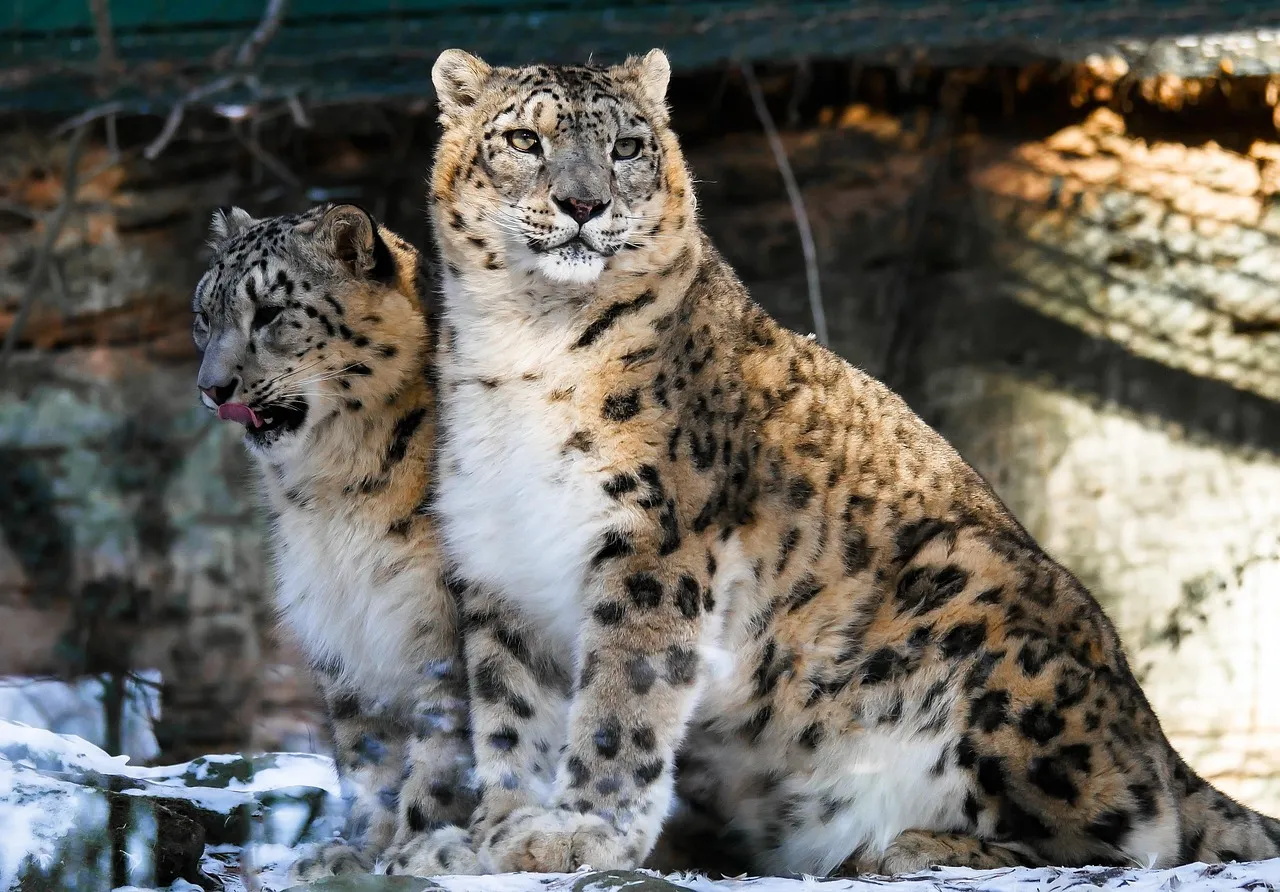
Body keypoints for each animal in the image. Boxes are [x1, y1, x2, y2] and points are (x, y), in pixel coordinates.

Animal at [191, 204, 478, 879]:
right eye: (203, 315)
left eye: (269, 312)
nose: (212, 388)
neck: (335, 495)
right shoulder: (339, 626)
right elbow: (363, 750)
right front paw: (353, 850)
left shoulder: (441, 622)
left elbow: (444, 745)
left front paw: (417, 848)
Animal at [409, 46, 1280, 879]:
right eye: (526, 140)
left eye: (626, 147)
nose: (584, 204)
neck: (524, 347)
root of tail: (1160, 735)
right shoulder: (500, 564)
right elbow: (509, 714)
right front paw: (490, 832)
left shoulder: (651, 545)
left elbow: (623, 704)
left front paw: (578, 833)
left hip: (987, 628)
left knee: (1130, 833)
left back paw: (909, 847)